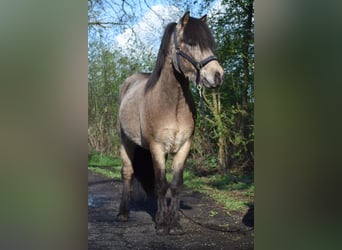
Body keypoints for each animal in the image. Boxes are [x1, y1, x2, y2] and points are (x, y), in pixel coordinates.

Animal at [117, 11, 224, 234]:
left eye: (211, 44)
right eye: (191, 42)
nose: (218, 75)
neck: (171, 104)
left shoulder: (184, 146)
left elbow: (174, 185)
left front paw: (174, 222)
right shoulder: (157, 147)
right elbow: (160, 183)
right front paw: (160, 223)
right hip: (126, 141)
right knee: (128, 172)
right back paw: (123, 213)